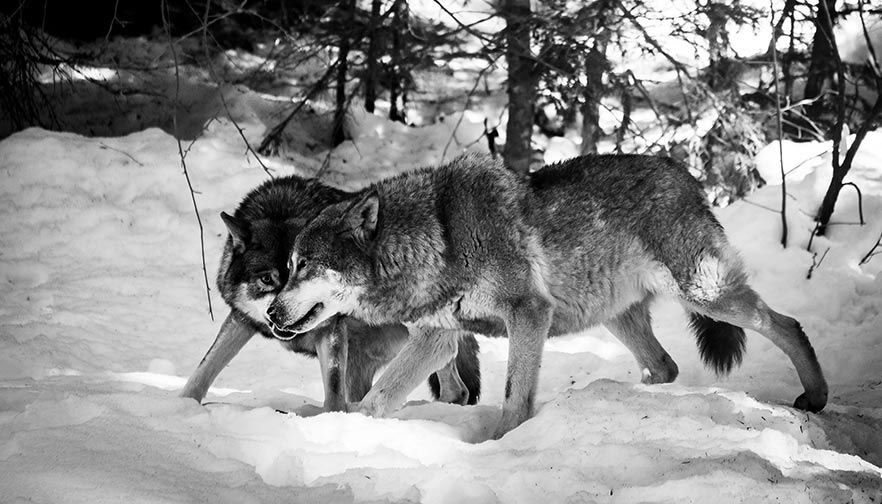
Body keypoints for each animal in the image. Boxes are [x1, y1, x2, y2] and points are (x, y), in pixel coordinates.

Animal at [179, 174, 481, 411]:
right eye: (267, 279)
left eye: (305, 270)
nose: (278, 313)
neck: (282, 208)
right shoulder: (241, 319)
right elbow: (205, 368)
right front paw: (182, 406)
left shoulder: (331, 329)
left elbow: (333, 394)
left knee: (455, 385)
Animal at [265, 153, 828, 438]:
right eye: (287, 268)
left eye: (305, 266)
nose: (270, 311)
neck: (440, 235)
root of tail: (684, 173)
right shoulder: (439, 338)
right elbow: (378, 399)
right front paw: (340, 433)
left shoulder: (529, 314)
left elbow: (515, 396)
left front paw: (500, 444)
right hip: (617, 316)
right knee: (666, 365)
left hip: (704, 294)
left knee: (788, 325)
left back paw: (816, 397)